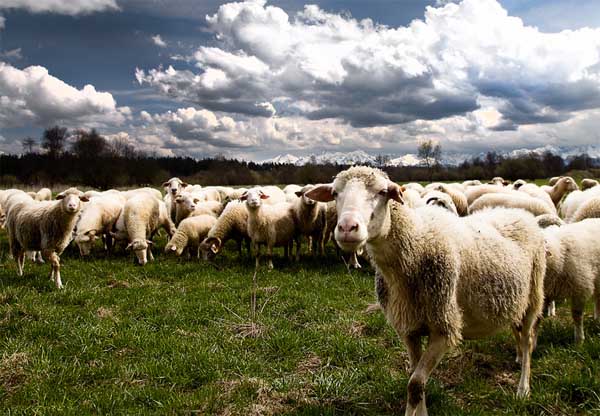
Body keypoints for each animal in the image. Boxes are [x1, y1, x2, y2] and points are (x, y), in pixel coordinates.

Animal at [308, 167, 548, 414]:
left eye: (383, 192)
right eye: (335, 193)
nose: (347, 228)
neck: (418, 242)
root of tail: (517, 213)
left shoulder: (445, 328)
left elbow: (415, 383)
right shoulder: (408, 328)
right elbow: (416, 379)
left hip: (534, 295)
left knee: (528, 340)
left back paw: (523, 388)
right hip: (513, 299)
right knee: (518, 332)